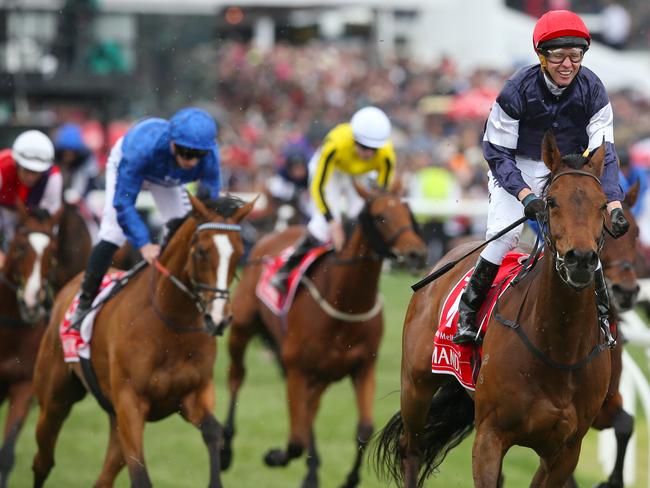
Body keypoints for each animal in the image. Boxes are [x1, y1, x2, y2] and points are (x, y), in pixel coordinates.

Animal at [31, 194, 253, 488]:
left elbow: (214, 433)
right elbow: (140, 476)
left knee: (102, 479)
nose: (218, 318)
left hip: (114, 420)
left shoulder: (193, 395)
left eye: (238, 253)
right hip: (55, 398)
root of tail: (69, 286)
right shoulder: (130, 402)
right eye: (201, 251)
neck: (169, 325)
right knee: (43, 461)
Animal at [220, 181, 428, 488]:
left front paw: (349, 478)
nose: (416, 254)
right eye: (380, 217)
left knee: (310, 413)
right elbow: (295, 440)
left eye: (408, 211)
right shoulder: (298, 369)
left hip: (321, 376)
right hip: (242, 328)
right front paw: (275, 456)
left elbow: (364, 428)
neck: (344, 301)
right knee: (236, 377)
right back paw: (225, 450)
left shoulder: (363, 367)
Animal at [374, 132, 612, 486]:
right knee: (411, 450)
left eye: (602, 204)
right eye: (552, 202)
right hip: (415, 384)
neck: (559, 350)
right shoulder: (490, 435)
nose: (580, 260)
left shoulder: (565, 452)